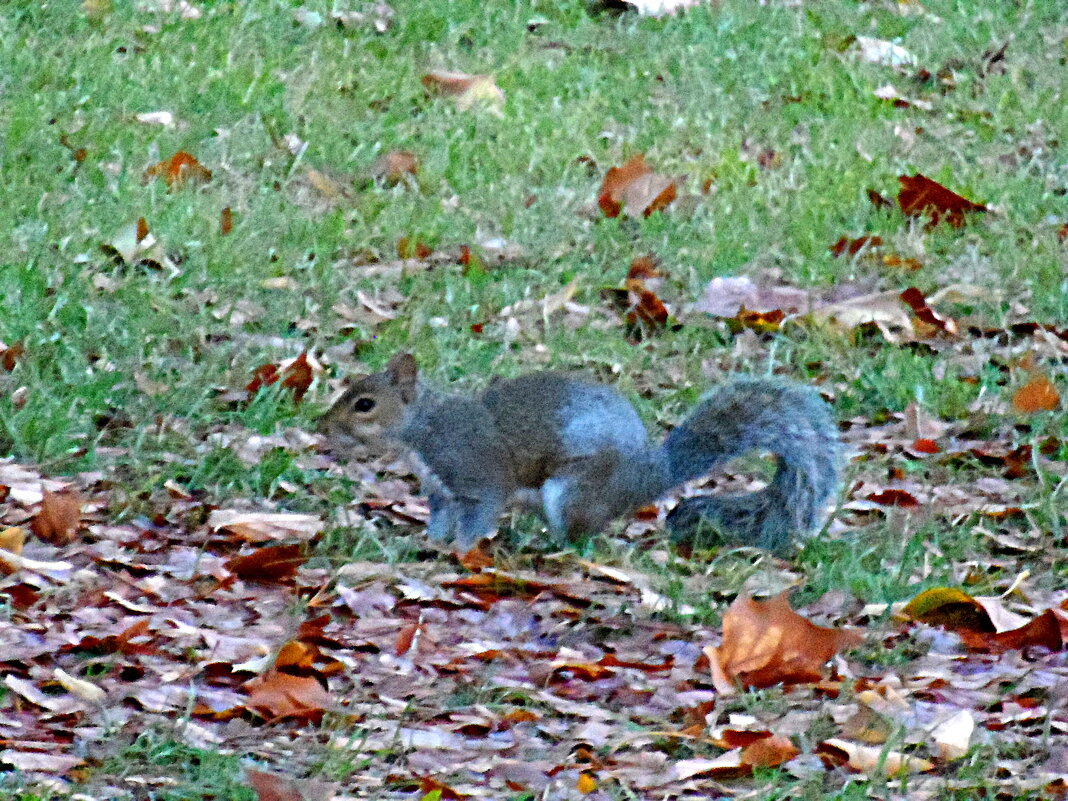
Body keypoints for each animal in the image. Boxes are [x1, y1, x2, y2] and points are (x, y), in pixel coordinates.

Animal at [316, 354, 841, 555]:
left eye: (365, 404)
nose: (322, 426)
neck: (423, 428)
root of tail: (647, 475)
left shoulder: (475, 474)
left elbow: (478, 515)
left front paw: (460, 551)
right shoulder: (442, 492)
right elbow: (441, 521)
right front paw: (425, 543)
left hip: (571, 491)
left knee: (580, 537)